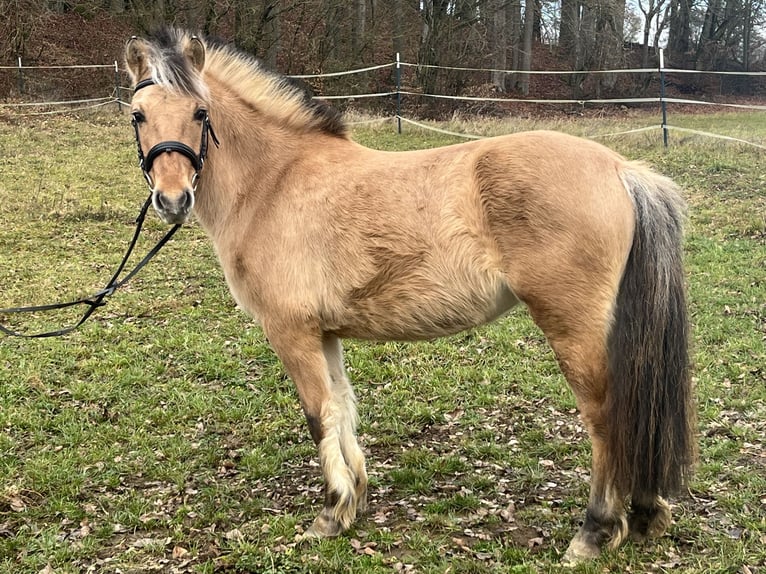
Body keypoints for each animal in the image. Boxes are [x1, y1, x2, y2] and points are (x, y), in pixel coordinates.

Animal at [124, 28, 696, 562]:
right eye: (138, 115)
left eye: (201, 111)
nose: (172, 200)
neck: (275, 181)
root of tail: (623, 170)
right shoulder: (324, 333)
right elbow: (343, 406)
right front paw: (354, 500)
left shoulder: (291, 333)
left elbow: (318, 415)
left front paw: (330, 513)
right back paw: (643, 514)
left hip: (573, 328)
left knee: (607, 417)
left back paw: (594, 531)